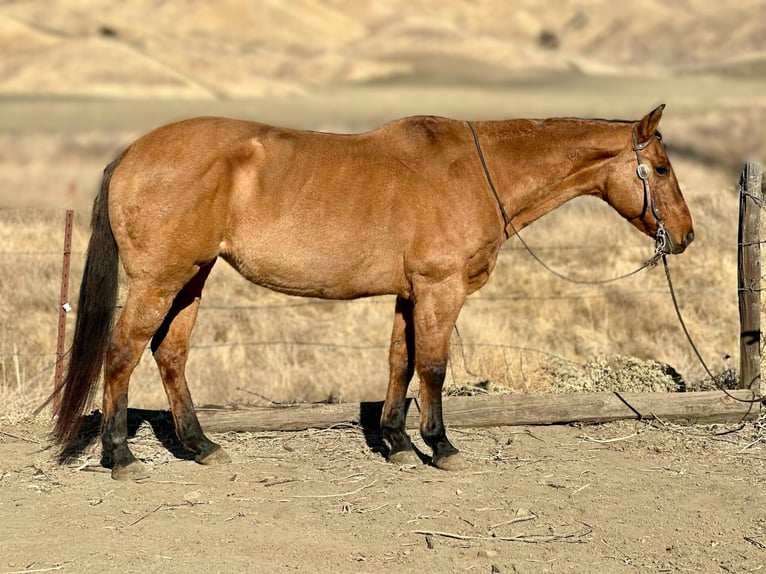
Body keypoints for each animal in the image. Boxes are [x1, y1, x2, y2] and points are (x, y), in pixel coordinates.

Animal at [51, 104, 693, 479]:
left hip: (193, 277)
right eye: (661, 169)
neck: (472, 172)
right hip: (161, 279)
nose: (685, 235)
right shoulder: (440, 290)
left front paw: (397, 441)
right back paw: (120, 456)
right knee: (123, 352)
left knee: (170, 353)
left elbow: (399, 363)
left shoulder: (411, 295)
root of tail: (131, 154)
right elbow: (432, 366)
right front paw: (441, 446)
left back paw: (200, 445)